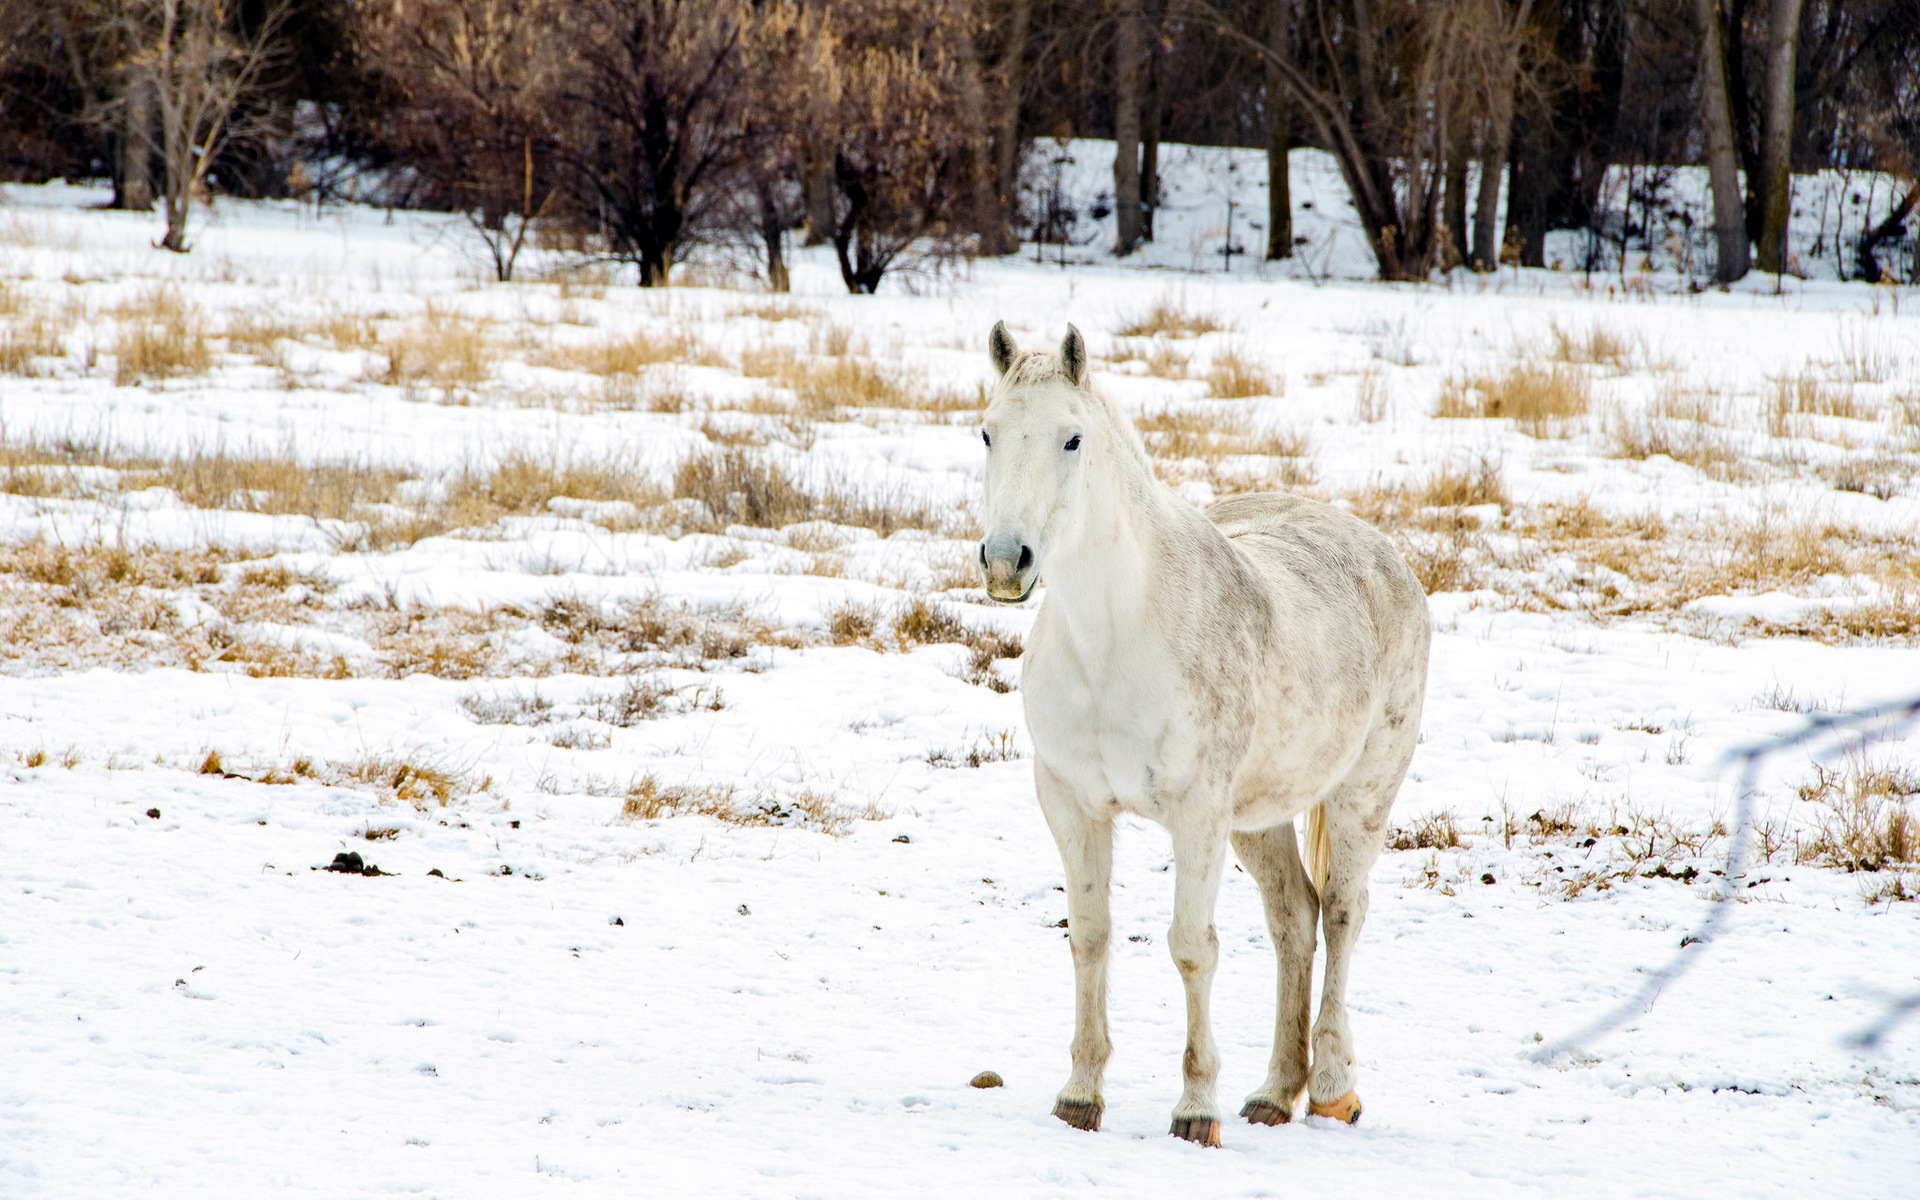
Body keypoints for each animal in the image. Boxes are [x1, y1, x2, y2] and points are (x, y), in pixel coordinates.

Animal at [983, 322, 1436, 1144]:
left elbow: (1193, 949)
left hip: (1362, 793)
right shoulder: (1071, 804)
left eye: (1072, 438)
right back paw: (1274, 1093)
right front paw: (1080, 1096)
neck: (1115, 635)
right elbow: (1089, 937)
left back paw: (1330, 1087)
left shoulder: (1196, 815)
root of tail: (1381, 551)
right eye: (987, 432)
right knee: (1295, 918)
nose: (1006, 563)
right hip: (1257, 818)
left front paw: (1195, 1109)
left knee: (1343, 914)